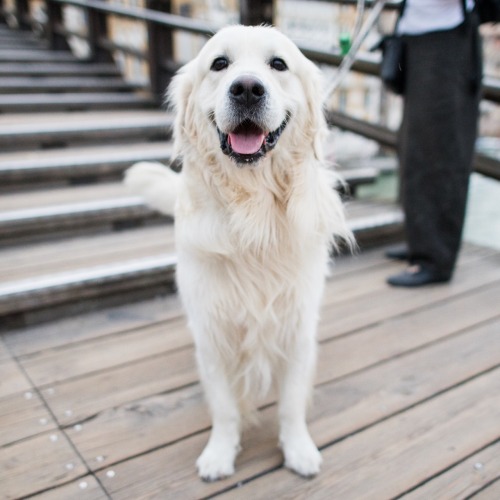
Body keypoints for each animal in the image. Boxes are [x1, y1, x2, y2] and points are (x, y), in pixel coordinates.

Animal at [125, 24, 352, 480]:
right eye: (219, 63)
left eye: (278, 64)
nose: (247, 88)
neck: (253, 212)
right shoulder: (212, 331)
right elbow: (225, 407)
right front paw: (220, 452)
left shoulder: (296, 327)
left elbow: (290, 404)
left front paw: (298, 448)